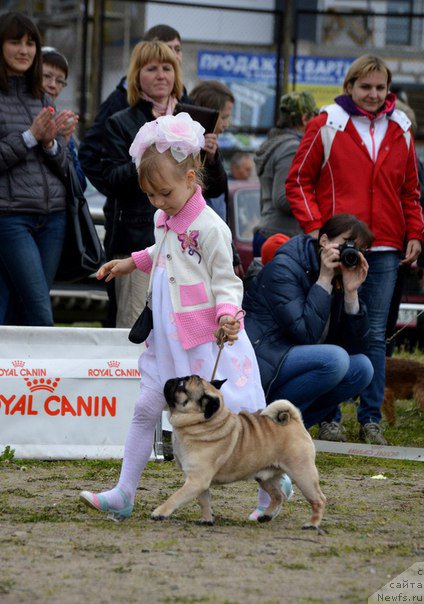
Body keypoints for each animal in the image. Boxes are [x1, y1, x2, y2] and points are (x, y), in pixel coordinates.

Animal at [151, 376, 326, 532]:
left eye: (182, 384)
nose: (171, 379)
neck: (203, 423)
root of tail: (294, 420)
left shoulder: (197, 480)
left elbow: (176, 497)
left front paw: (160, 512)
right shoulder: (198, 482)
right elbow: (204, 501)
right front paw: (207, 519)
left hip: (302, 474)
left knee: (318, 500)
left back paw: (312, 524)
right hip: (265, 477)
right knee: (278, 496)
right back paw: (266, 516)